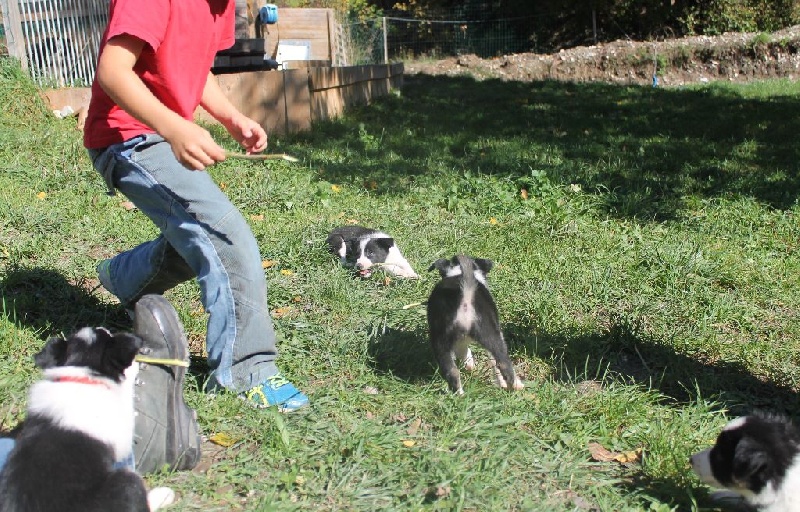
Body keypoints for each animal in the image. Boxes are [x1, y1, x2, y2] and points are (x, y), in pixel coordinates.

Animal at [424, 254, 524, 394]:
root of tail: (464, 298)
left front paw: (470, 366)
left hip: (442, 340)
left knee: (451, 371)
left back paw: (460, 395)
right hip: (490, 335)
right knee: (503, 363)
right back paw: (515, 386)